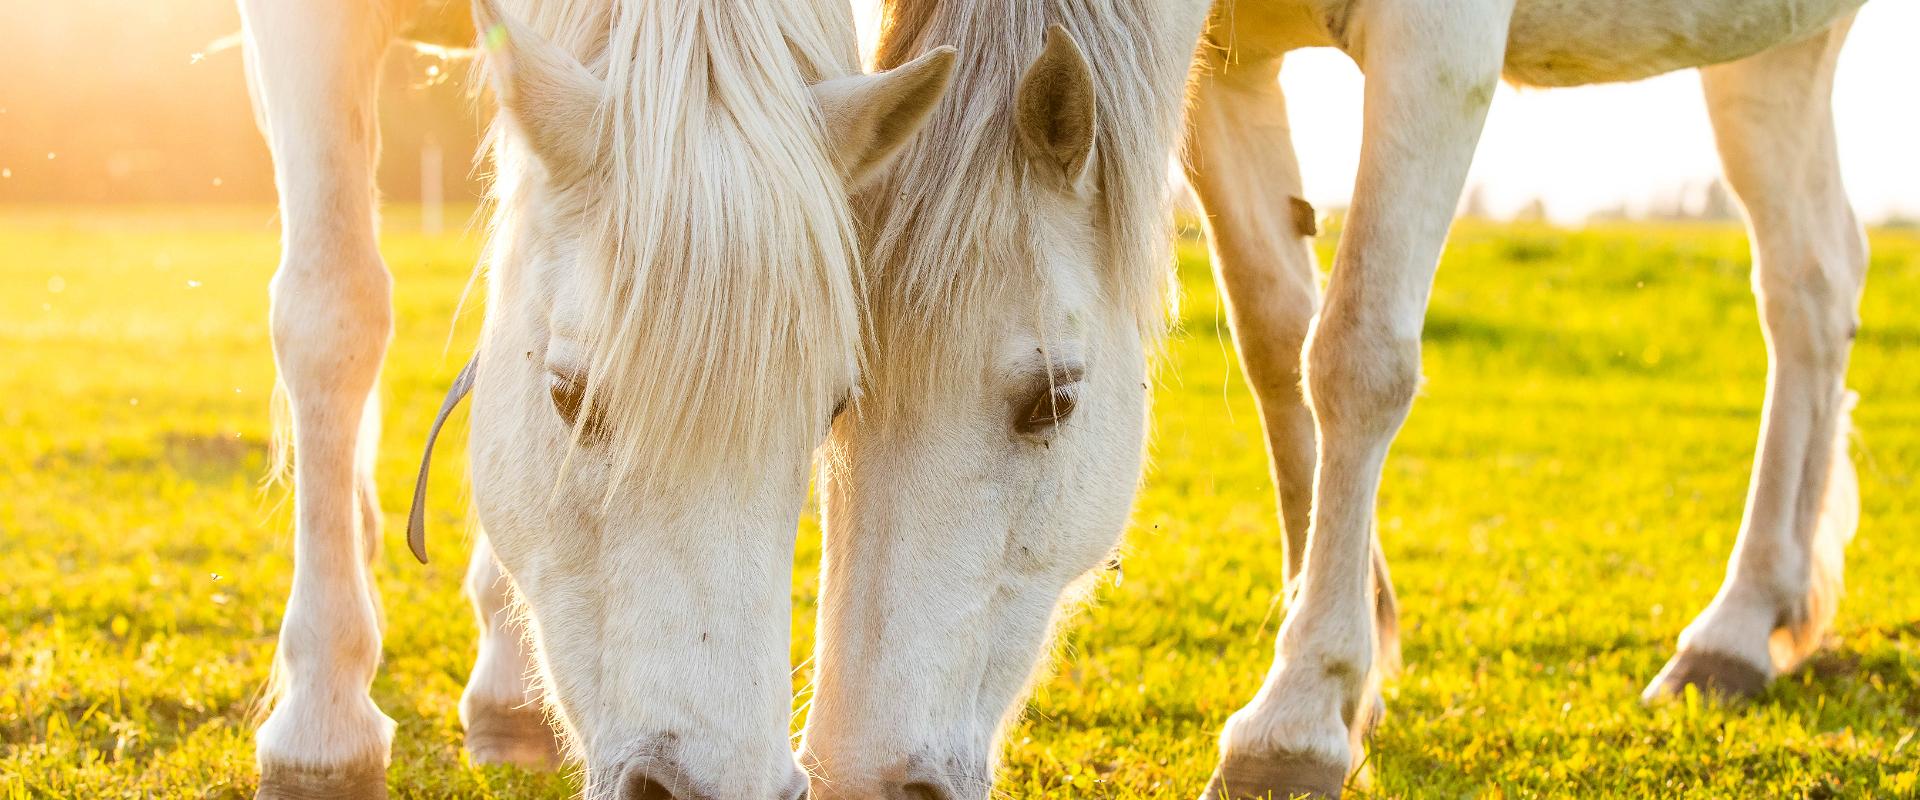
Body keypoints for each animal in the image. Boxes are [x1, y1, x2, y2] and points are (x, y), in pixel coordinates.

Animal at [238, 0, 952, 794]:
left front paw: (507, 699)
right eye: (569, 397)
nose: (719, 787)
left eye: (830, 413)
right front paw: (322, 731)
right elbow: (333, 314)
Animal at [814, 1, 1873, 798]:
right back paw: (1763, 619)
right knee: (1816, 285)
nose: (865, 780)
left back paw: (1735, 625)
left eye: (1051, 401)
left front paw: (1299, 717)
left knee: (1799, 295)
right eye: (832, 407)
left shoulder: (1439, 49)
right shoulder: (1229, 75)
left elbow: (1355, 357)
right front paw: (1354, 654)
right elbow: (1279, 345)